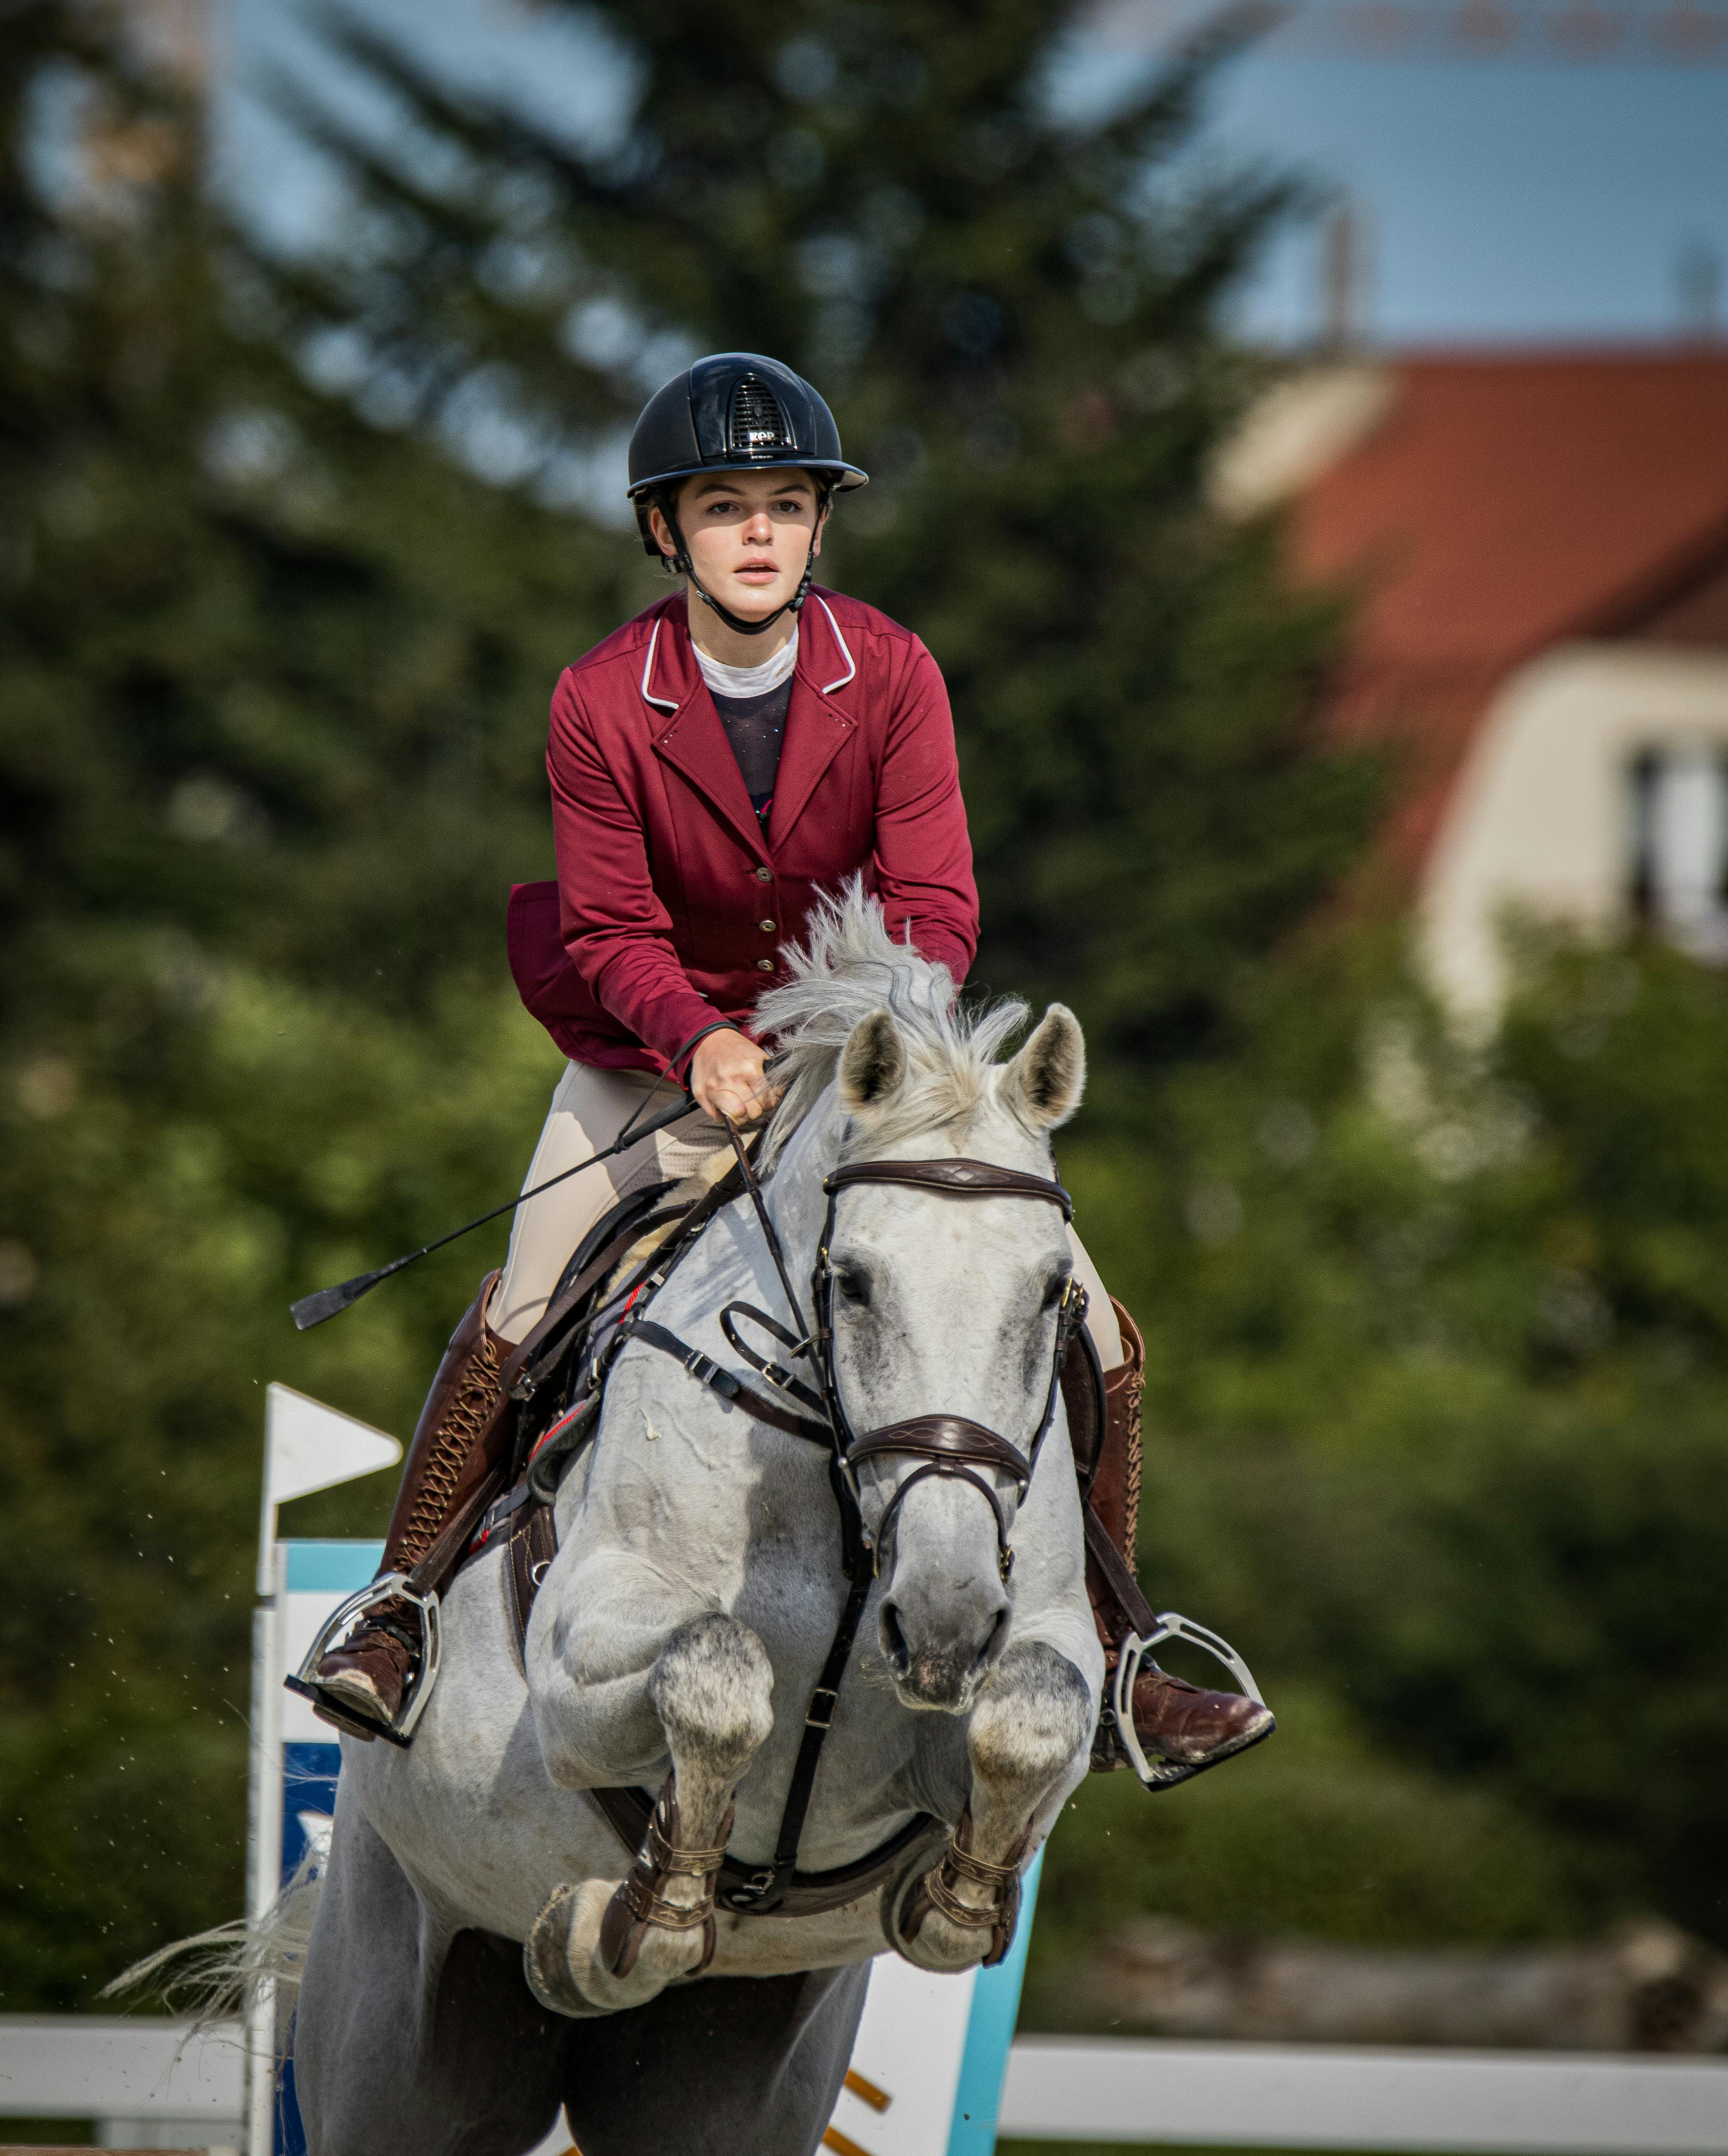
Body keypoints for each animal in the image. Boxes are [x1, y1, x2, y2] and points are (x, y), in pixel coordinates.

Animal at [292, 891, 1104, 2156]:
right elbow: (715, 1674)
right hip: (394, 2039)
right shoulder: (578, 1670)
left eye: (1053, 1290)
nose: (943, 1622)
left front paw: (956, 1901)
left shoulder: (1043, 1652)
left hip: (729, 2070)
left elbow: (1030, 1717)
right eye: (853, 1278)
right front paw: (616, 1926)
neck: (842, 1494)